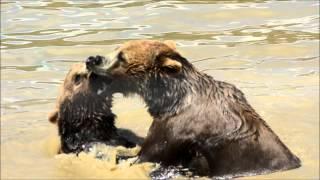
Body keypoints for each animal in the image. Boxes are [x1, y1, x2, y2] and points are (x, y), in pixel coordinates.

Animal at [85, 40, 300, 177]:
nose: (91, 59)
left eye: (121, 57)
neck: (170, 99)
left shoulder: (174, 129)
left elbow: (146, 155)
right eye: (116, 48)